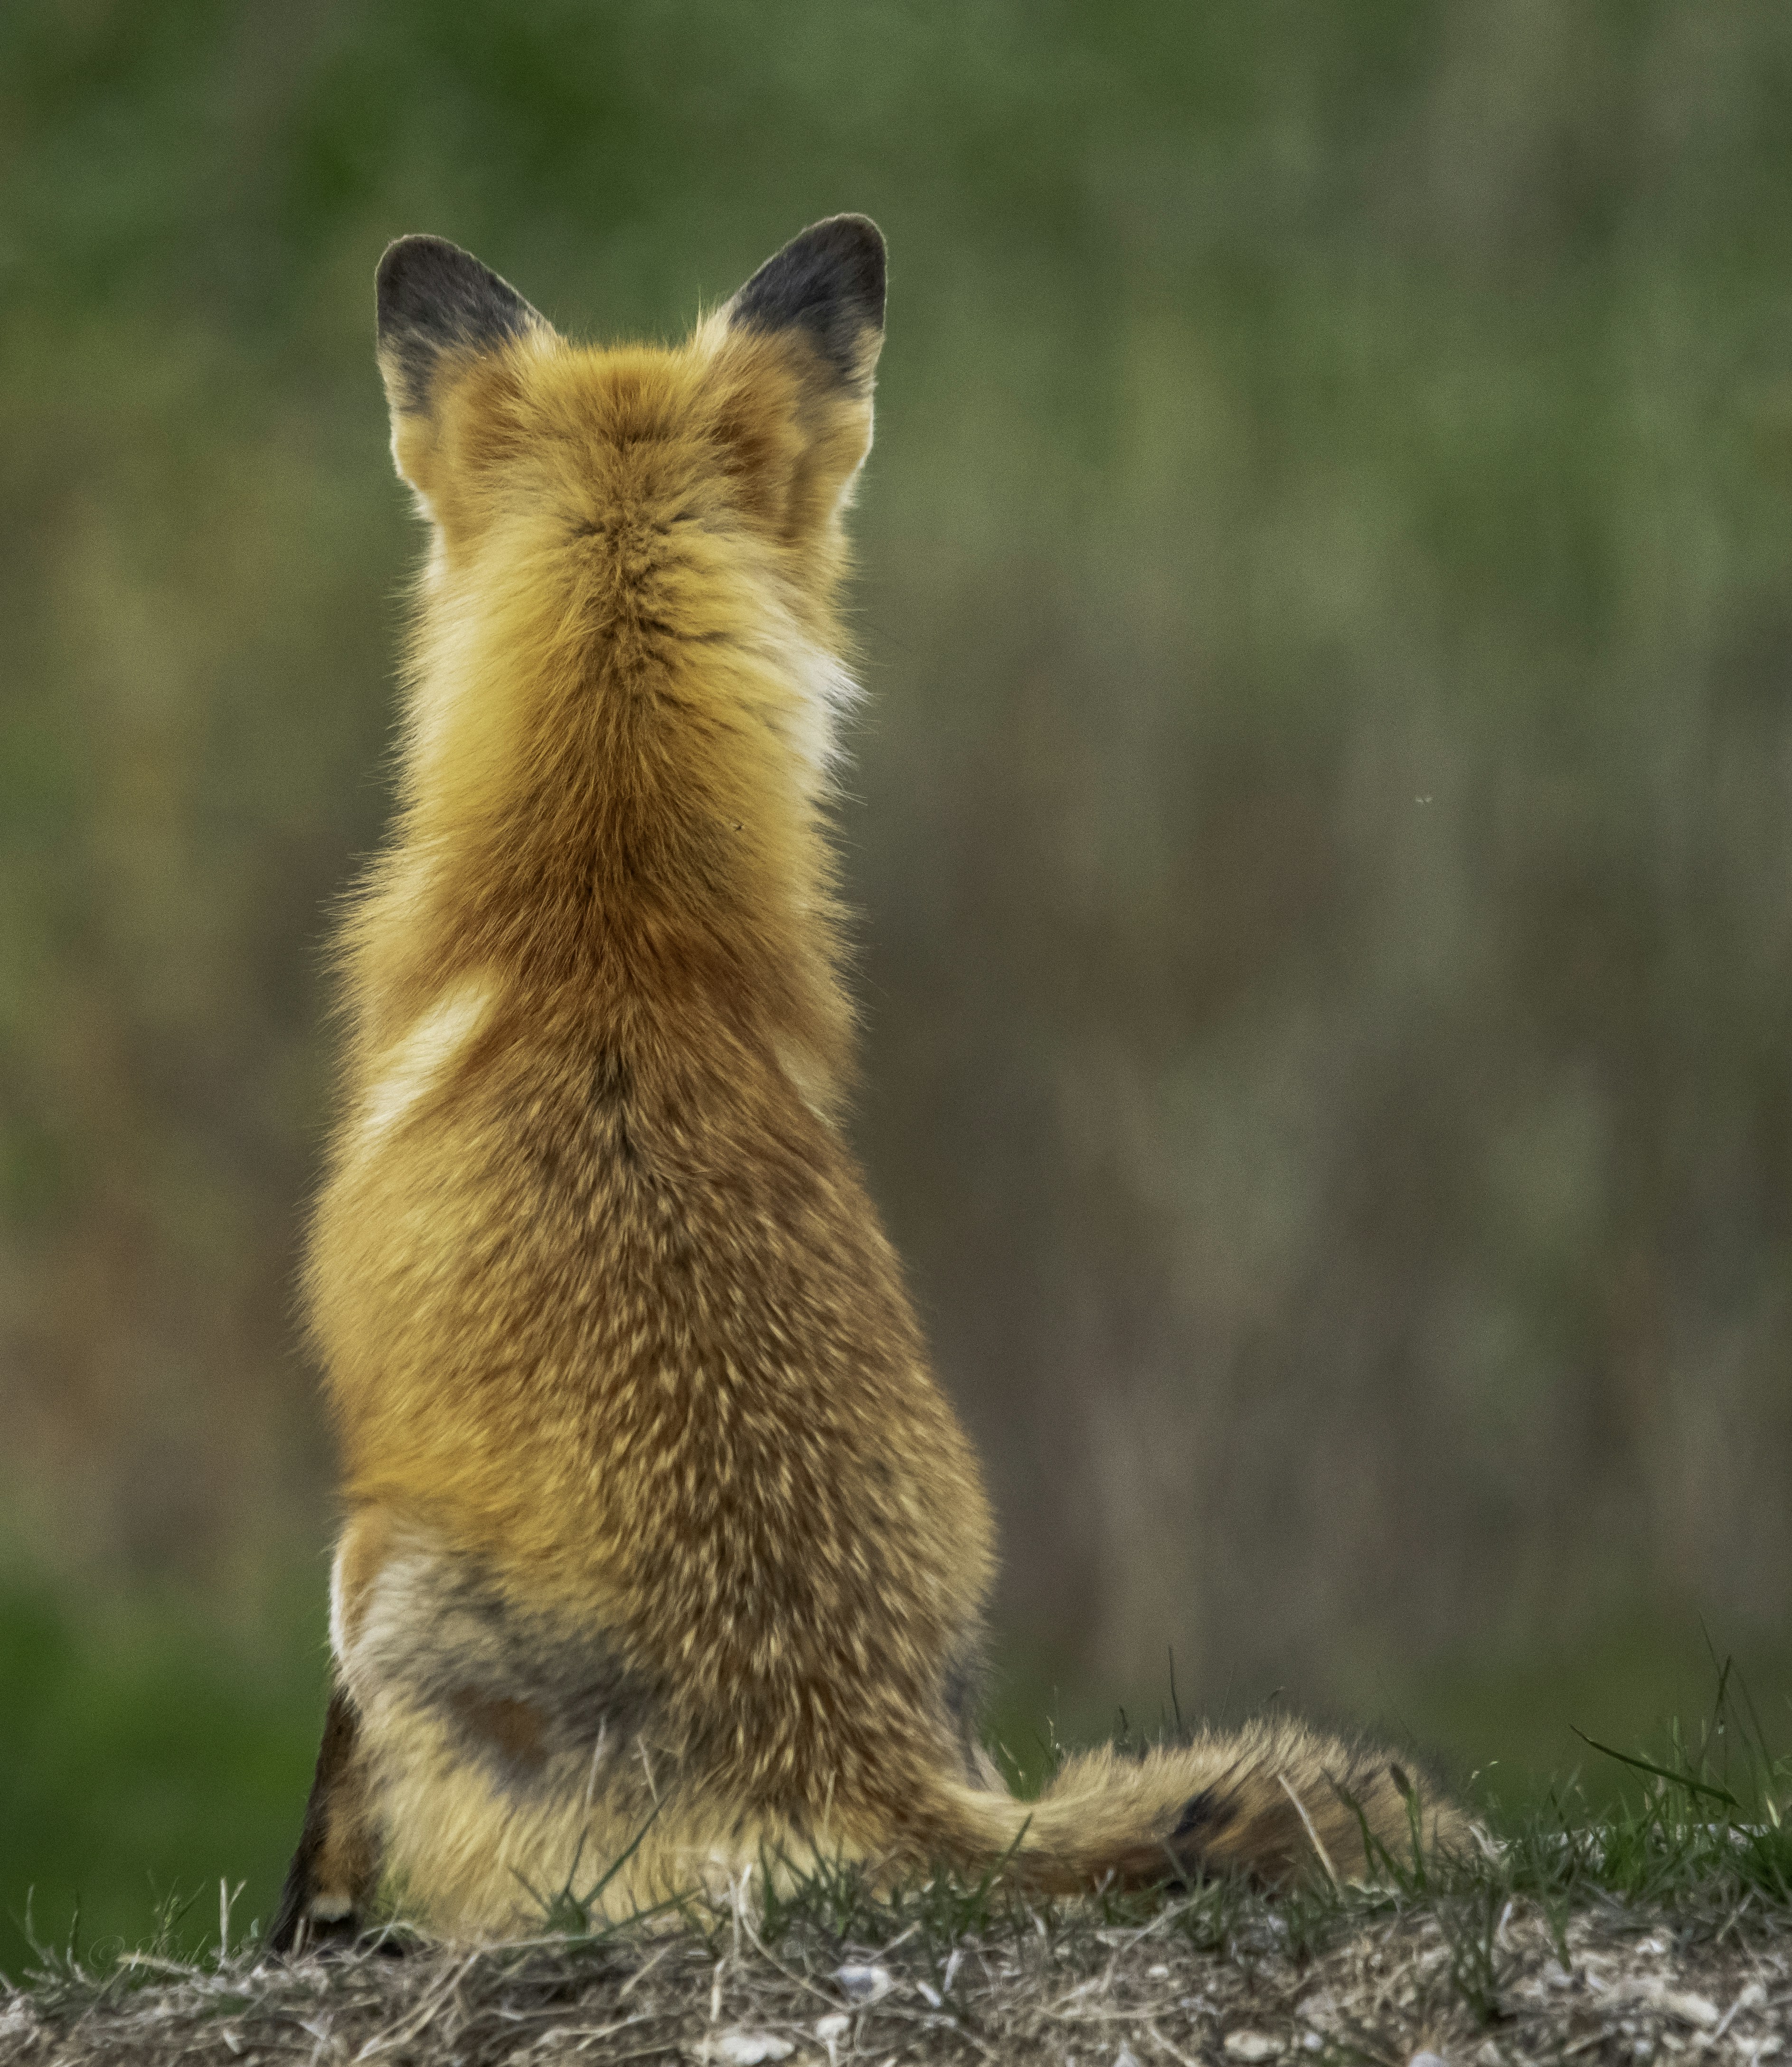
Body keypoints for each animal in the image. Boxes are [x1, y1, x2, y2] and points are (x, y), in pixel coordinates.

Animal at [269, 215, 1468, 1951]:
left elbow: (324, 1803)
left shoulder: (359, 1507)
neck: (607, 915)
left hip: (384, 1577)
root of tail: (845, 1761)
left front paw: (302, 1919)